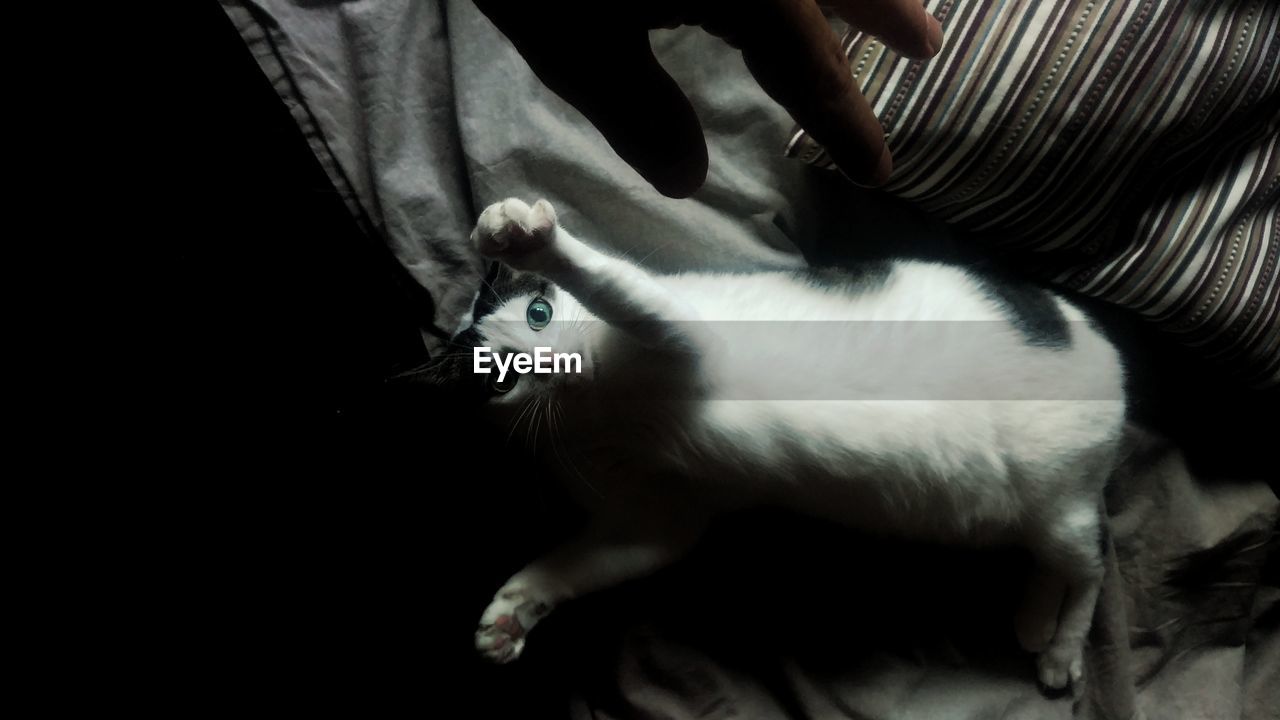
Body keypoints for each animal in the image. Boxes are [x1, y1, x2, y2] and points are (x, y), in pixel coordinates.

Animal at [417, 196, 1121, 691]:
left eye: (539, 314)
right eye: (499, 376)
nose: (554, 367)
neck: (596, 410)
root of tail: (1101, 342)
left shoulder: (684, 337)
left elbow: (609, 282)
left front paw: (526, 236)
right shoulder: (660, 517)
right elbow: (575, 564)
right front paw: (512, 612)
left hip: (1061, 497)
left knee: (1092, 566)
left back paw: (1061, 653)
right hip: (1018, 513)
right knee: (1054, 561)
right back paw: (1034, 618)